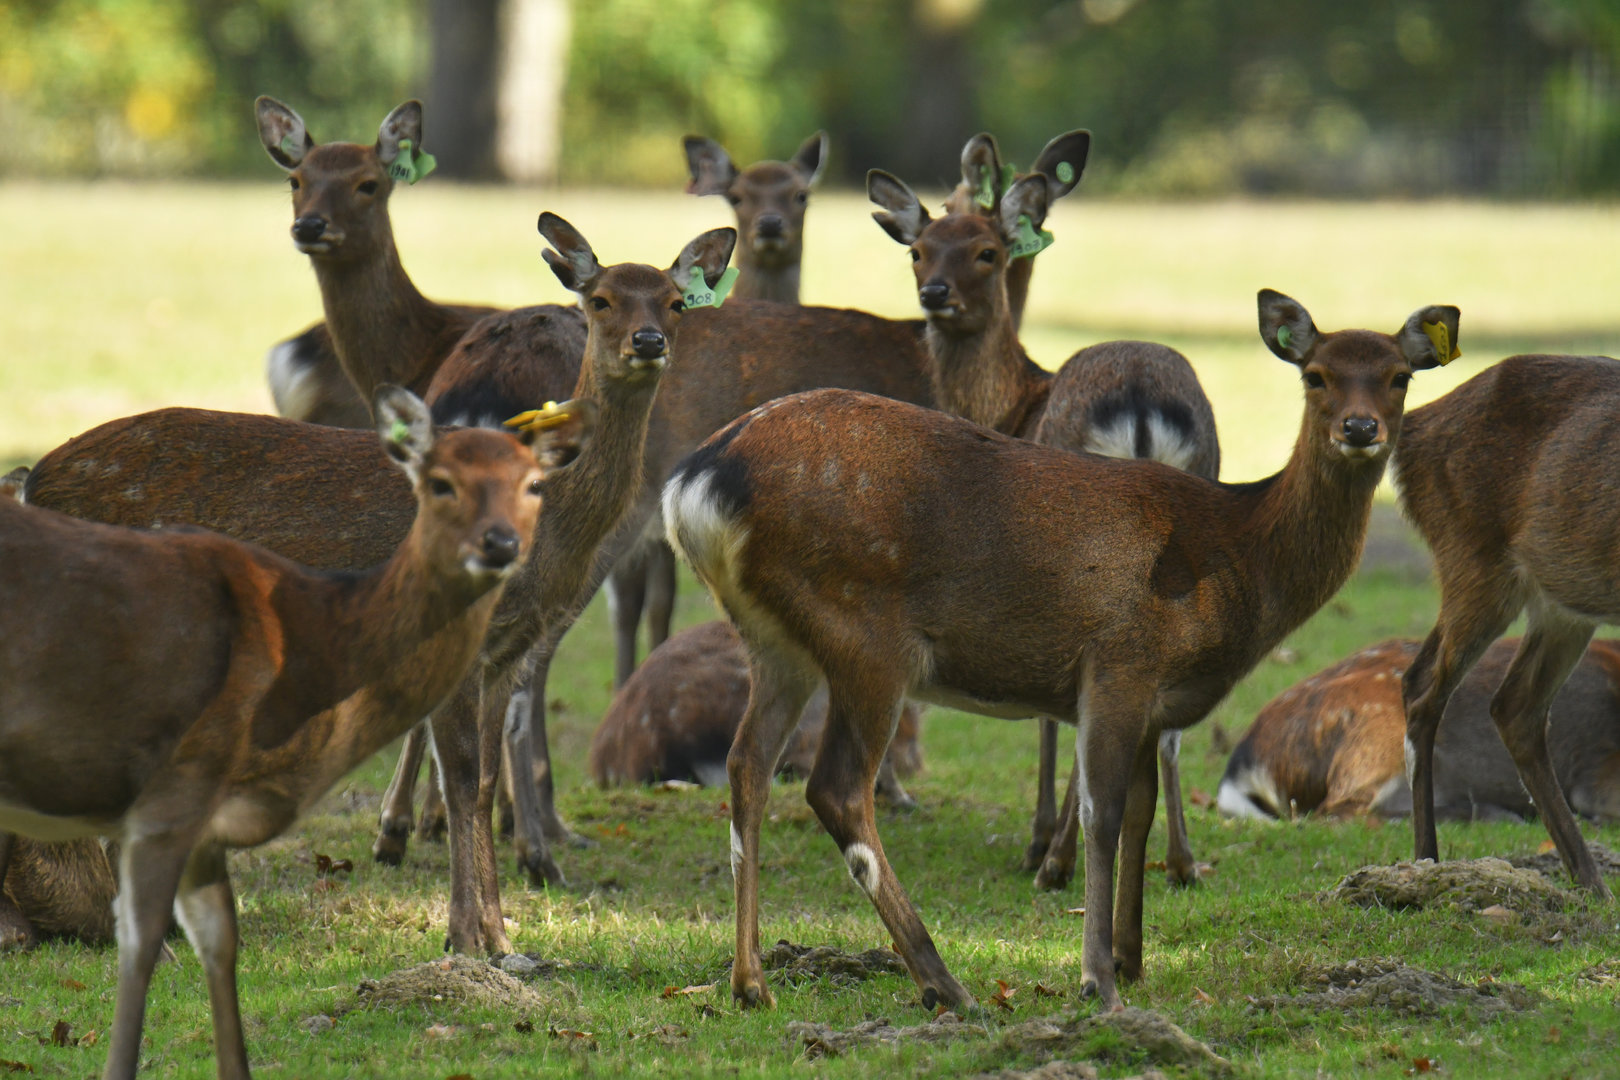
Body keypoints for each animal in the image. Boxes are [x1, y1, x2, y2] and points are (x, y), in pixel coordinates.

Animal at [23, 216, 737, 956]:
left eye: (675, 303)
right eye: (600, 300)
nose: (648, 342)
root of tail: (34, 477)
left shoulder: (506, 651)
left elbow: (484, 780)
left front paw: (504, 938)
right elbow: (461, 780)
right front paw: (467, 939)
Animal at [664, 278, 1456, 1011]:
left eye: (1399, 376)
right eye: (1315, 373)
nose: (1360, 427)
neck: (1239, 554)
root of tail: (696, 483)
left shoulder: (1155, 702)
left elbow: (1138, 812)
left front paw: (1134, 959)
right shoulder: (1119, 661)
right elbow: (1102, 815)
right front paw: (1097, 977)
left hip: (774, 640)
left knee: (747, 765)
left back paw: (751, 982)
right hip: (866, 633)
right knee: (834, 787)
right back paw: (943, 981)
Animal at [868, 144, 1220, 889]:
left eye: (987, 251)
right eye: (917, 249)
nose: (934, 294)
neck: (1009, 403)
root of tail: (1141, 404)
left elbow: (1046, 715)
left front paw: (1034, 840)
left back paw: (1057, 859)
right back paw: (1181, 860)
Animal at [1396, 352, 1620, 897]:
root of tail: (1413, 430)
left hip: (1561, 600)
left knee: (1513, 706)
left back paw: (1591, 882)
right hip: (1474, 558)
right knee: (1422, 687)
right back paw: (1427, 860)